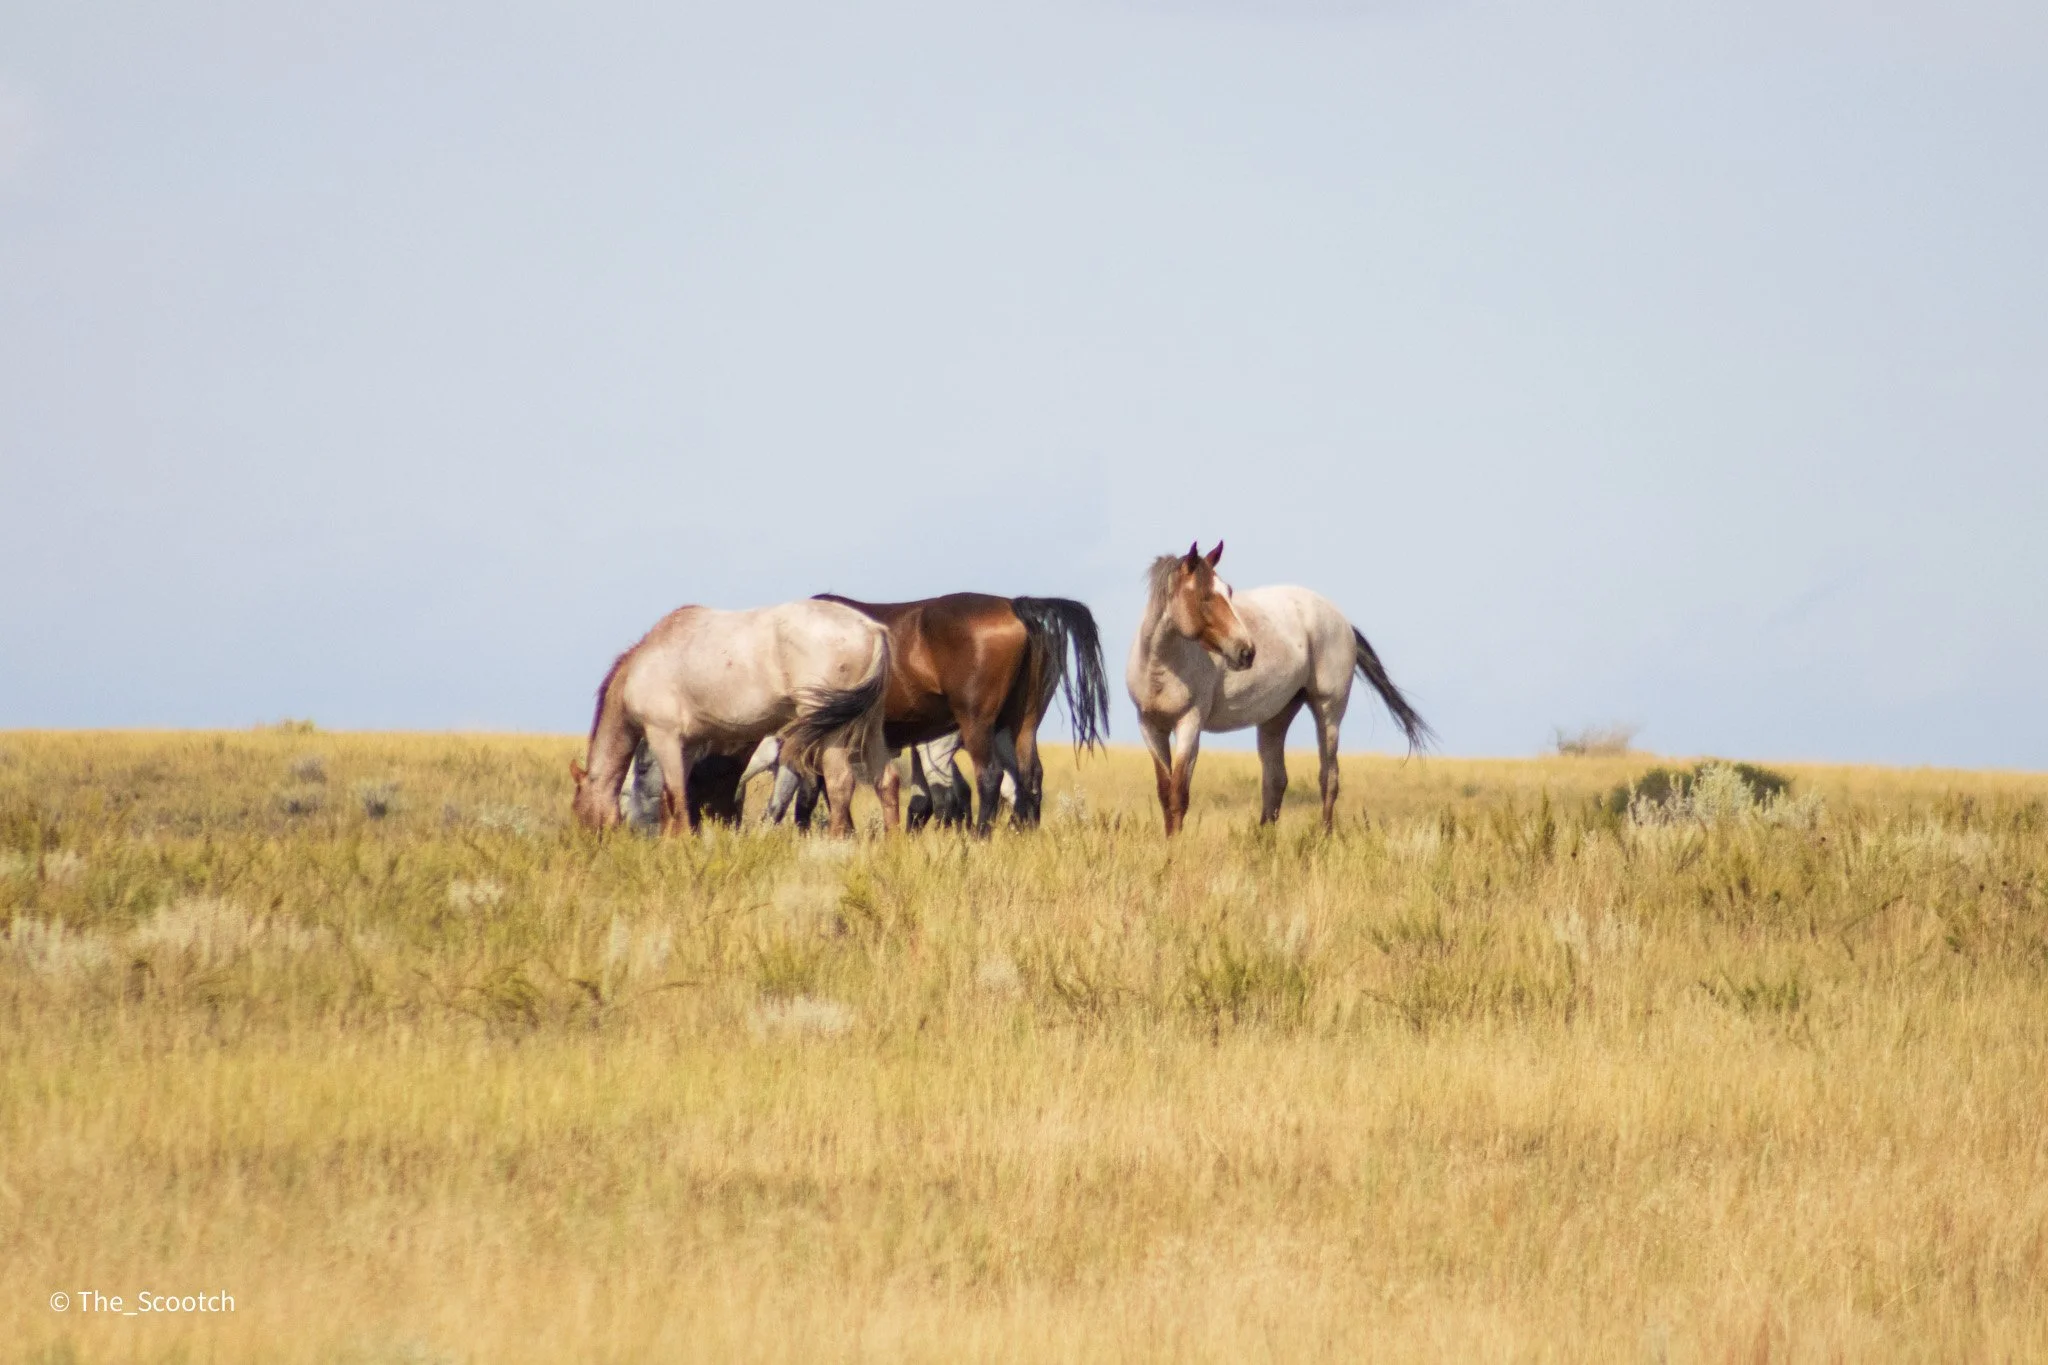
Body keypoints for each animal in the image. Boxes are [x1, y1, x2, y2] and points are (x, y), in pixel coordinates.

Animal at [571, 600, 894, 837]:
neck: (641, 668)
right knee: (887, 781)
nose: (589, 845)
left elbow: (674, 796)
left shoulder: (664, 736)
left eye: (577, 809)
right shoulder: (688, 745)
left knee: (840, 784)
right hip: (870, 727)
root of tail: (871, 628)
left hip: (832, 733)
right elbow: (675, 799)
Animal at [811, 593, 1108, 833]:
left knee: (989, 777)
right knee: (1028, 777)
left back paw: (980, 836)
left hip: (977, 723)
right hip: (1021, 724)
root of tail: (1014, 606)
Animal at [1126, 542, 1433, 835]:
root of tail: (1342, 622)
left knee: (1328, 777)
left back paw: (1324, 837)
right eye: (1204, 597)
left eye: (1229, 591)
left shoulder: (1189, 723)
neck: (1163, 667)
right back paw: (1263, 840)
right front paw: (1169, 841)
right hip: (1276, 717)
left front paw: (1177, 845)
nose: (1246, 651)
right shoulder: (1150, 727)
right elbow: (1165, 793)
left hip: (1328, 711)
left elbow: (1179, 793)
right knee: (1275, 781)